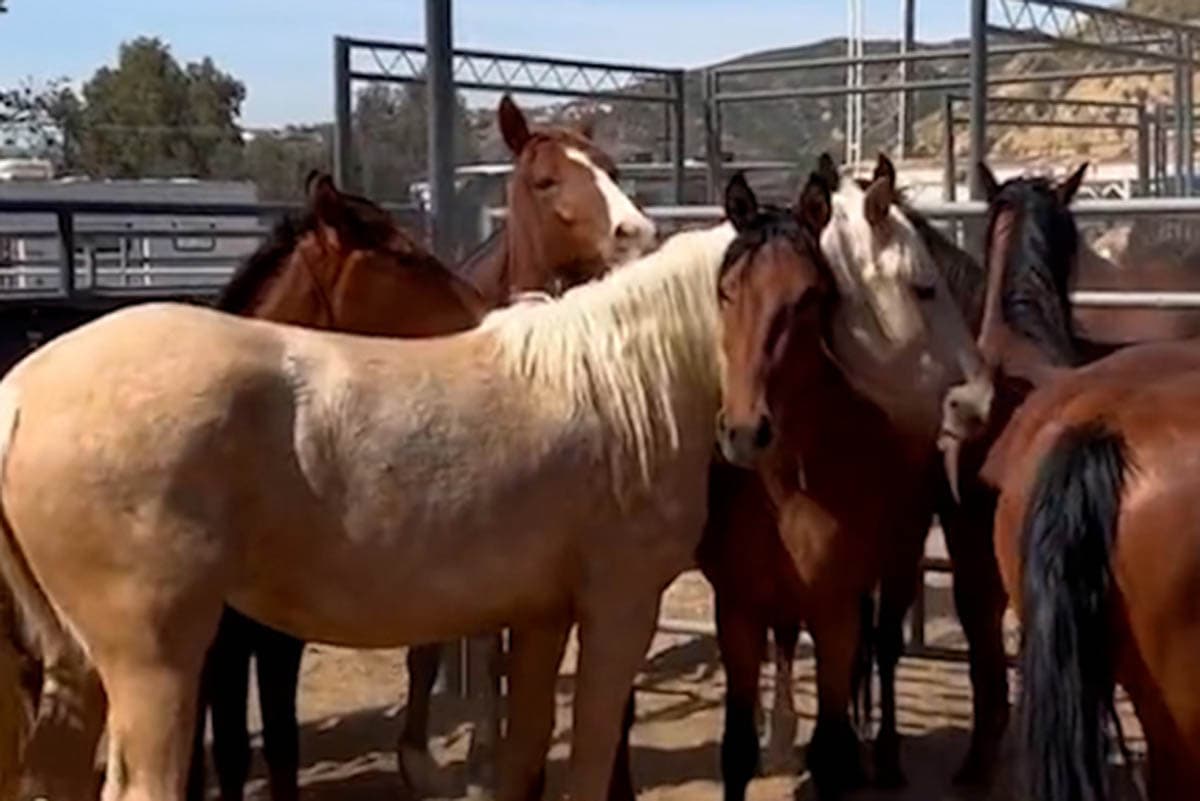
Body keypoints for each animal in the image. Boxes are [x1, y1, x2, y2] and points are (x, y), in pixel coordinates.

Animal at [0, 212, 735, 801]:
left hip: (80, 663)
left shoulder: (543, 613)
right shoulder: (620, 607)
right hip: (154, 664)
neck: (626, 387)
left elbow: (527, 750)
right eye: (403, 256)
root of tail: (21, 391)